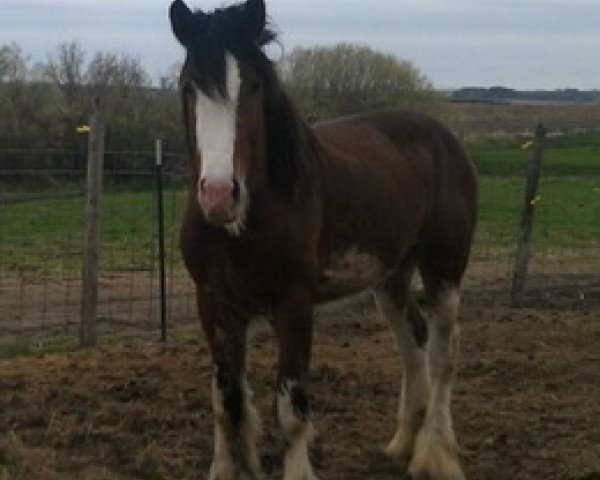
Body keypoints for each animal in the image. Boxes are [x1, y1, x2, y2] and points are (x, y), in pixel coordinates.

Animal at [170, 0, 478, 480]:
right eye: (188, 87)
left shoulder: (294, 303)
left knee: (443, 355)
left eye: (253, 85)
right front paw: (230, 464)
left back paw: (434, 454)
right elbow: (226, 400)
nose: (219, 194)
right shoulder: (214, 303)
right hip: (390, 275)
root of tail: (446, 137)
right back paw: (402, 443)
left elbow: (292, 408)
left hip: (444, 268)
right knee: (412, 342)